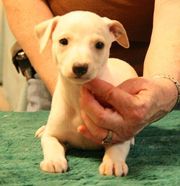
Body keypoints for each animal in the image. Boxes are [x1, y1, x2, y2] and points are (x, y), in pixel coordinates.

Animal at [34, 10, 137, 177]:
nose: (80, 67)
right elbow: (51, 143)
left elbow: (117, 147)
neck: (77, 95)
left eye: (100, 45)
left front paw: (113, 162)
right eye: (63, 41)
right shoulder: (53, 135)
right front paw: (54, 161)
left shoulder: (116, 129)